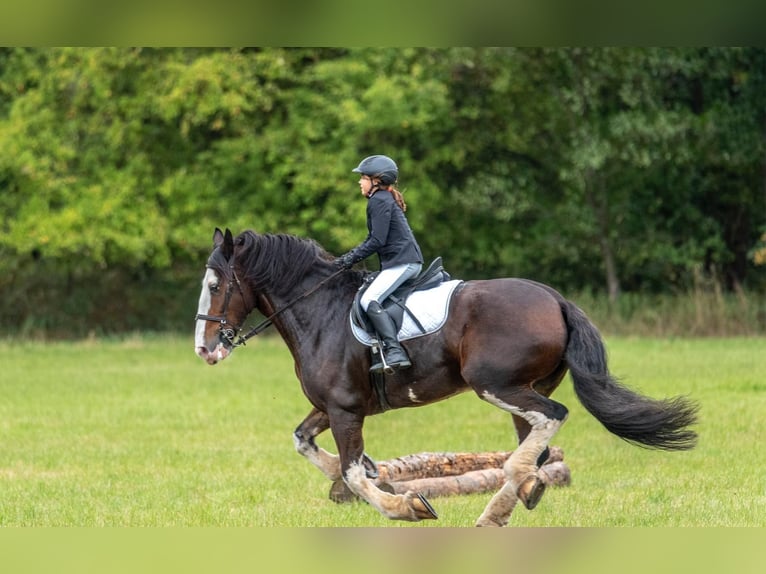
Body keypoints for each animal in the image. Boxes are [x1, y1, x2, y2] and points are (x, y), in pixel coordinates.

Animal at [195, 228, 700, 528]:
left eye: (216, 286)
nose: (204, 348)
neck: (319, 311)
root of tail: (556, 300)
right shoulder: (331, 407)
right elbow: (307, 444)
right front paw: (376, 477)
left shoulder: (344, 409)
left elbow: (353, 473)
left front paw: (405, 505)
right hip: (524, 389)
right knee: (535, 442)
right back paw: (515, 499)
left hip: (496, 385)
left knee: (549, 420)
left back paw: (500, 505)